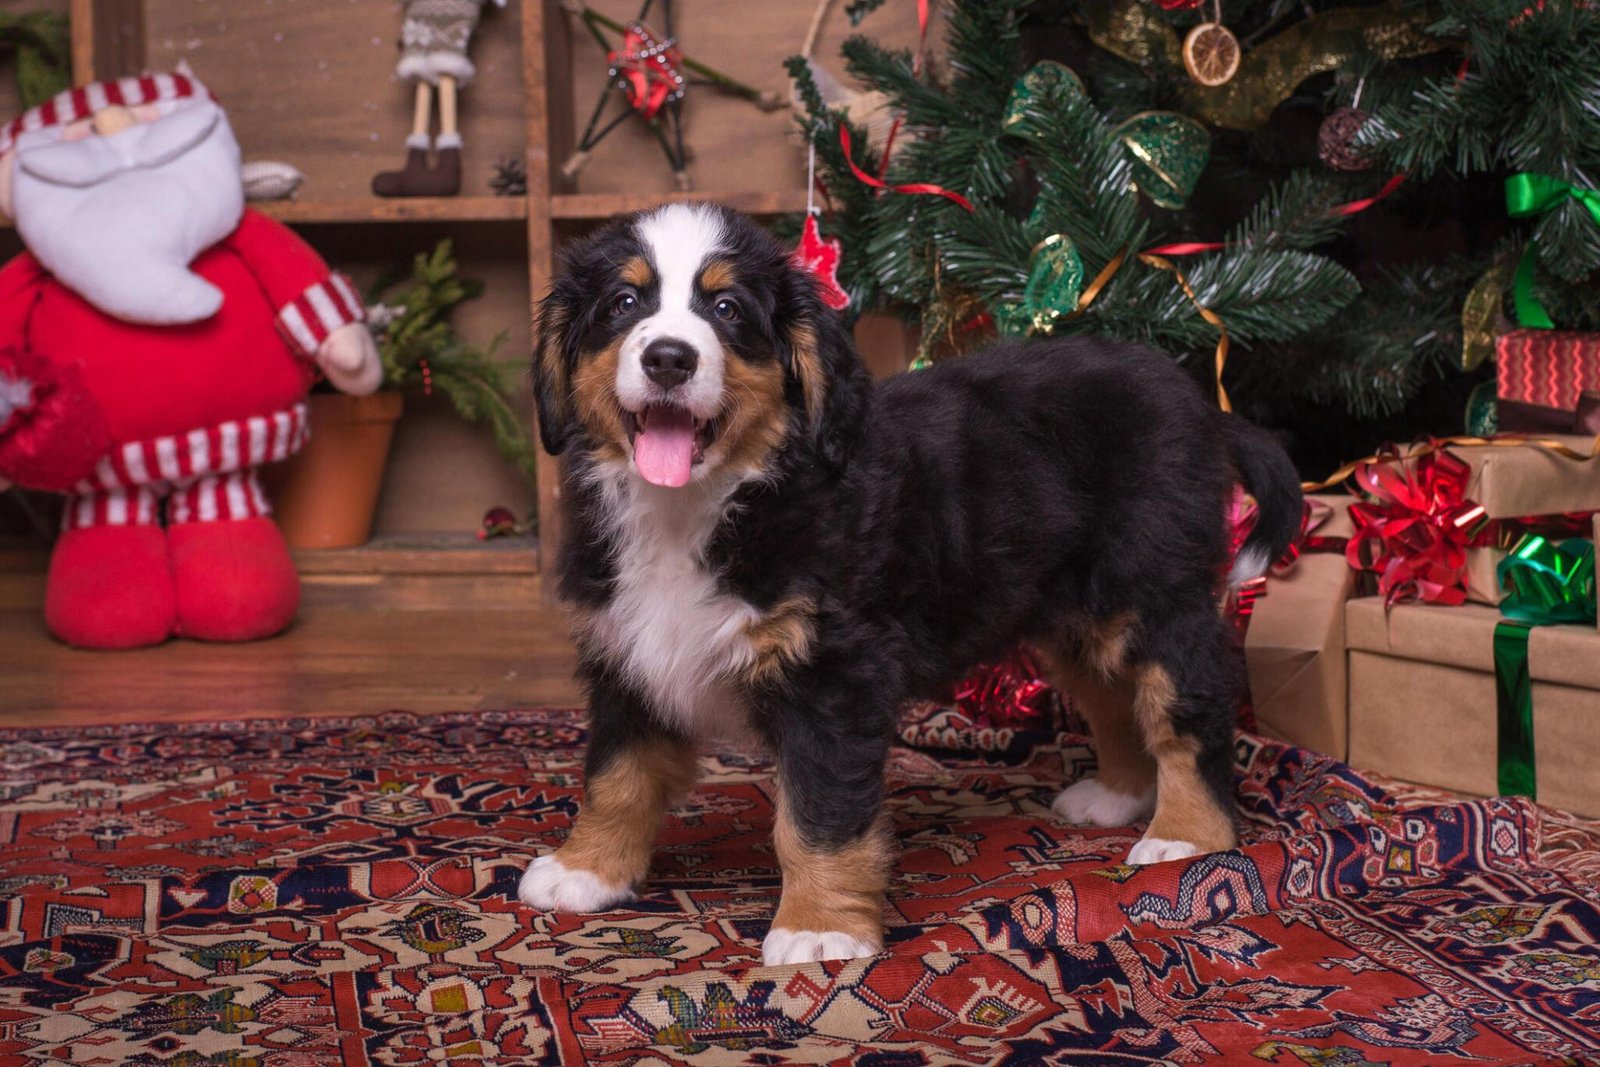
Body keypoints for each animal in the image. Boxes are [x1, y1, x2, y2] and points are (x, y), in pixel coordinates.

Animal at [518, 199, 1305, 966]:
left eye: (728, 309)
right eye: (624, 302)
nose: (668, 358)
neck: (702, 506)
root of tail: (1201, 405)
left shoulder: (834, 670)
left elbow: (818, 812)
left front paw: (819, 930)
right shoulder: (629, 651)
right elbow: (616, 775)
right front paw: (588, 870)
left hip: (1152, 589)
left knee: (1187, 705)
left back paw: (1186, 839)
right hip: (1081, 612)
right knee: (1114, 696)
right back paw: (1117, 796)